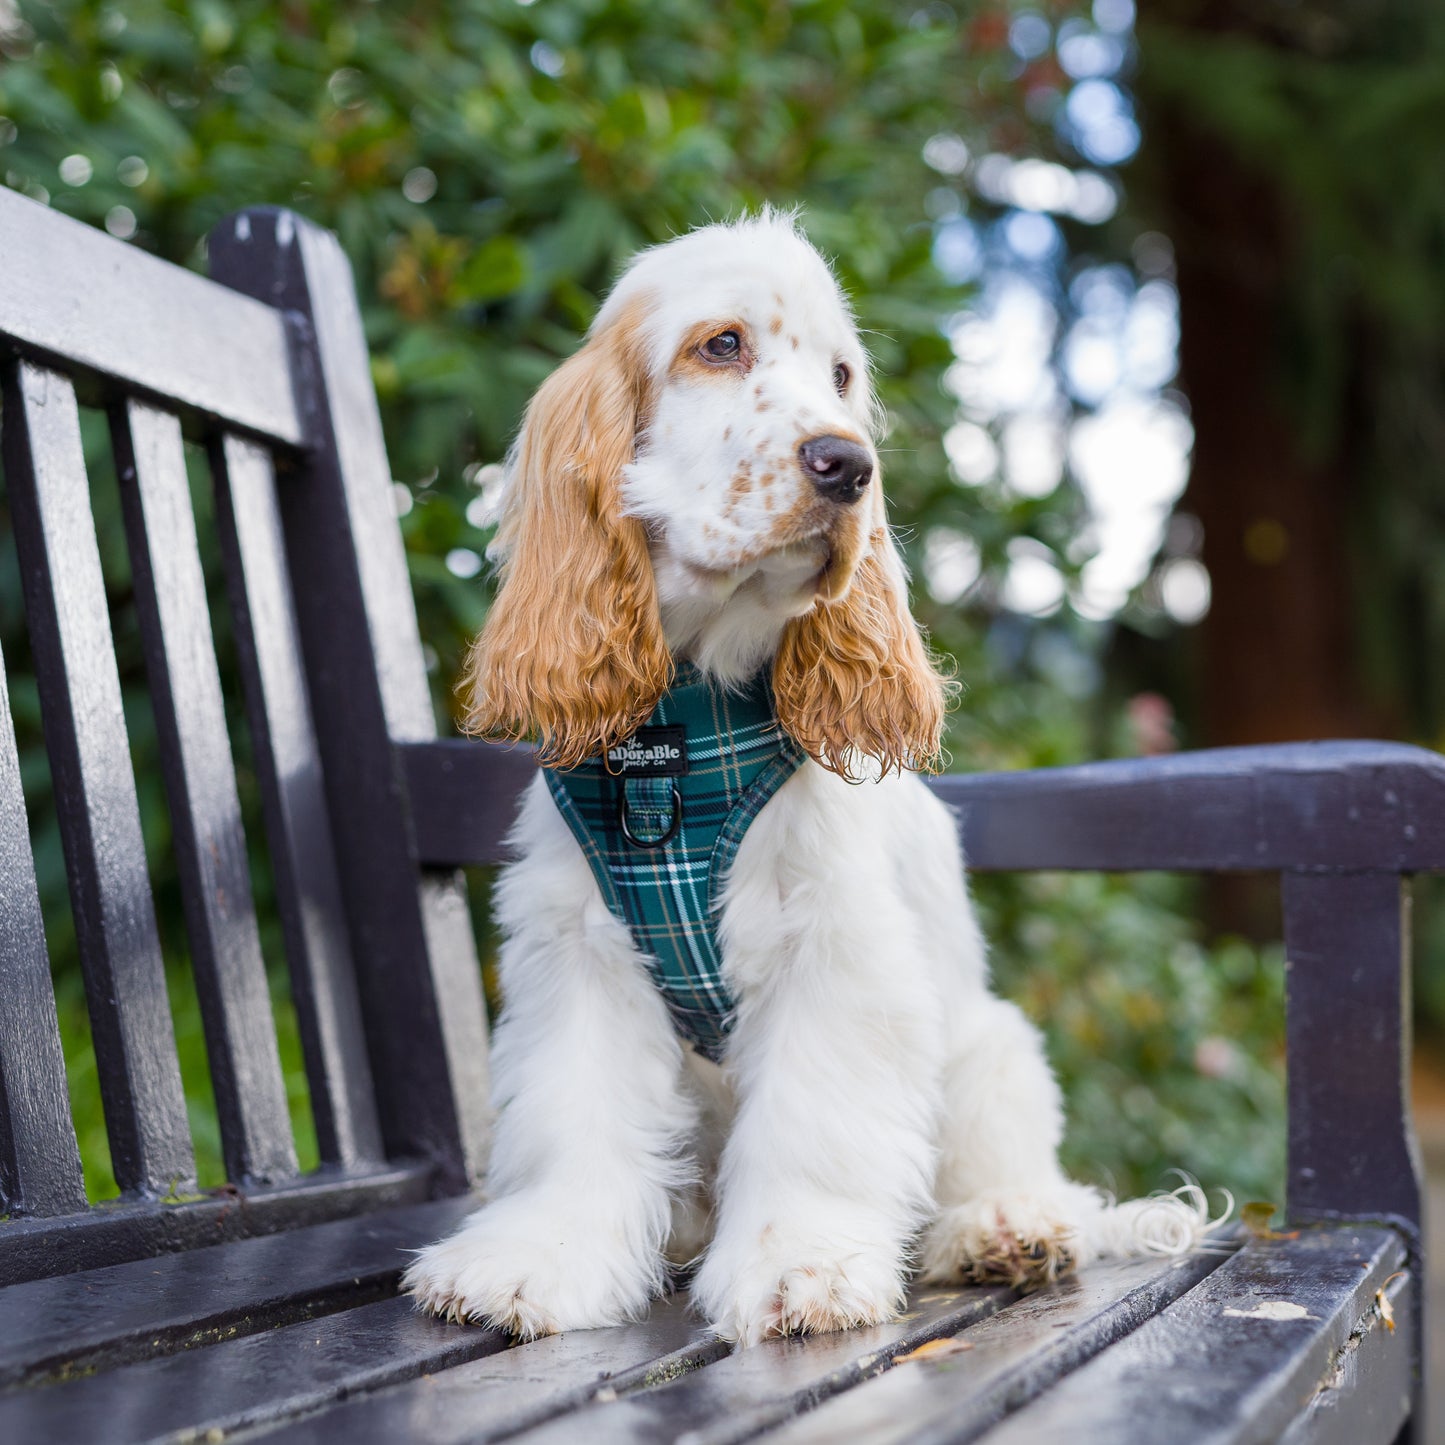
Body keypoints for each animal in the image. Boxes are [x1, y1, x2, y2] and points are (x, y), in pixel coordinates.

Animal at [401, 210, 1213, 1340]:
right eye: (721, 345)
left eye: (839, 376)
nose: (846, 464)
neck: (683, 734)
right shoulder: (580, 950)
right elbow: (577, 1119)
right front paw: (532, 1261)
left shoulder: (836, 950)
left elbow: (813, 1129)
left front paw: (802, 1267)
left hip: (988, 1049)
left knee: (1015, 1172)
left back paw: (1003, 1227)